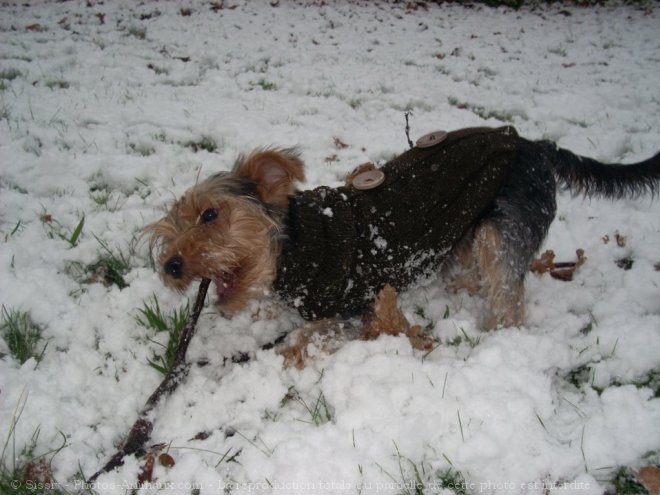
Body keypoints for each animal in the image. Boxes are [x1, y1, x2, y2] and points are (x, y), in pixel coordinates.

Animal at [147, 127, 656, 330]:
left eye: (210, 215)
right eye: (170, 230)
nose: (171, 266)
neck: (298, 245)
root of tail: (536, 145)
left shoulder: (349, 311)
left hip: (501, 230)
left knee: (508, 293)